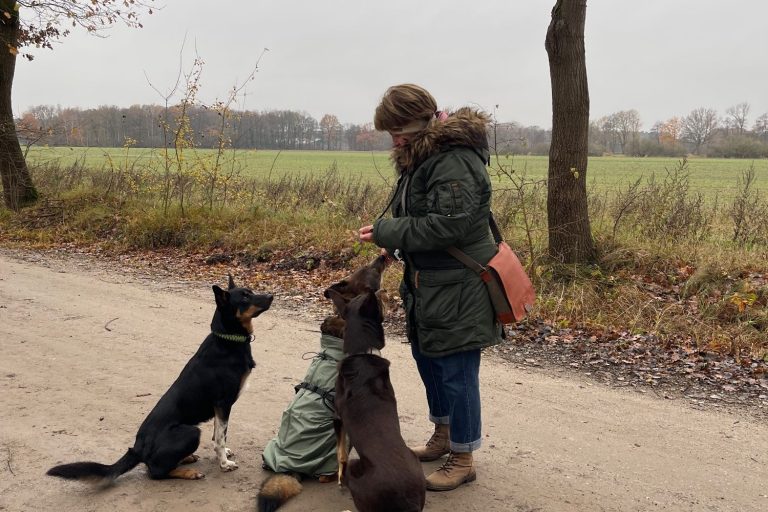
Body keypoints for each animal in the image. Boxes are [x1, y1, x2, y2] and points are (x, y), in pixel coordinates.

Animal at [45, 276, 272, 484]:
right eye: (245, 297)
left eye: (251, 291)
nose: (271, 295)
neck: (227, 339)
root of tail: (138, 448)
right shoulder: (223, 403)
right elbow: (220, 438)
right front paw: (224, 463)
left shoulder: (220, 408)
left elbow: (219, 434)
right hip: (191, 431)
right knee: (154, 471)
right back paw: (189, 472)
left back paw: (186, 459)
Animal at [328, 288, 428, 512]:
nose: (382, 289)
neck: (362, 352)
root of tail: (407, 501)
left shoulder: (338, 417)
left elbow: (341, 454)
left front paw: (338, 479)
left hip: (358, 471)